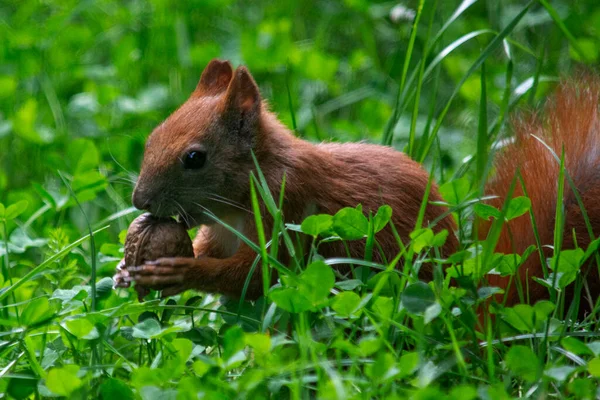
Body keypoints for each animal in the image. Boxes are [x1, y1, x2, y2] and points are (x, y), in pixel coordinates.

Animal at [115, 60, 600, 310]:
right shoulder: (220, 232)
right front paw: (126, 269)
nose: (139, 200)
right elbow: (216, 254)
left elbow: (255, 273)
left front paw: (181, 270)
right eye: (152, 137)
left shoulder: (288, 215)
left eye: (194, 159)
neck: (240, 198)